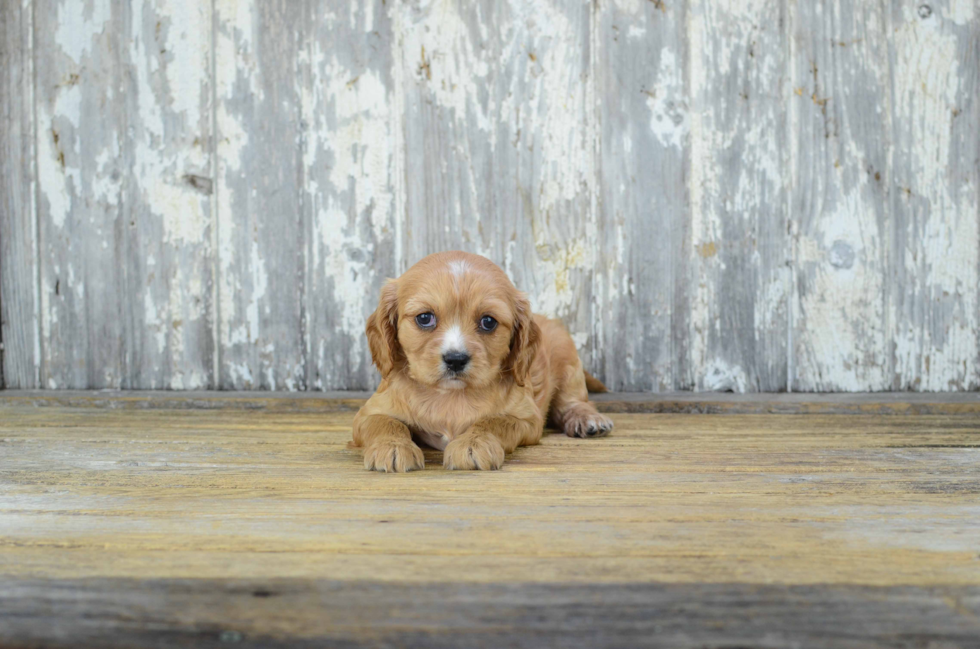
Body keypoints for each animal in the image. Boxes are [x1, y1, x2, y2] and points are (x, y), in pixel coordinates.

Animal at [352, 249, 612, 470]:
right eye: (424, 318)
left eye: (488, 322)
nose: (455, 359)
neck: (451, 397)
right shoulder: (369, 412)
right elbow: (385, 422)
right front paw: (392, 447)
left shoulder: (527, 418)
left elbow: (494, 422)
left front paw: (473, 444)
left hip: (568, 361)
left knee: (573, 401)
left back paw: (588, 419)